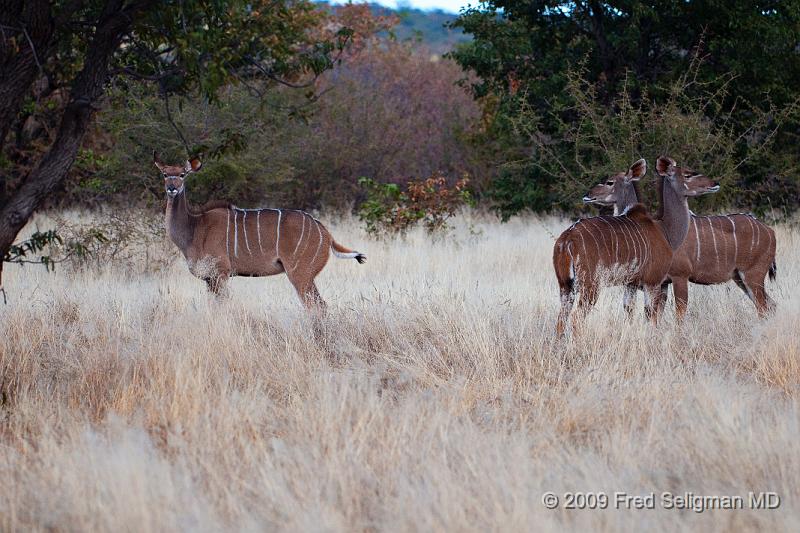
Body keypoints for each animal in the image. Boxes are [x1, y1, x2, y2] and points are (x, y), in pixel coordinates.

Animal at [155, 152, 366, 310]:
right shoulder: (210, 279)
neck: (195, 228)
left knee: (318, 306)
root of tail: (326, 233)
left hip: (300, 274)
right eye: (165, 174)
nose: (172, 188)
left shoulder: (221, 274)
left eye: (182, 174)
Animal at [552, 156, 720, 334]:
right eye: (688, 174)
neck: (664, 230)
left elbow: (631, 310)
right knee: (576, 318)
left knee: (561, 319)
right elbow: (651, 316)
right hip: (590, 285)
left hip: (566, 286)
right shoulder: (652, 282)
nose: (715, 183)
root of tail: (567, 238)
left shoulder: (631, 284)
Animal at [584, 158, 780, 316]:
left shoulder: (678, 276)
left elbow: (675, 312)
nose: (587, 195)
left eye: (609, 182)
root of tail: (770, 232)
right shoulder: (658, 283)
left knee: (763, 306)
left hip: (753, 275)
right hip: (740, 277)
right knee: (770, 305)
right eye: (687, 174)